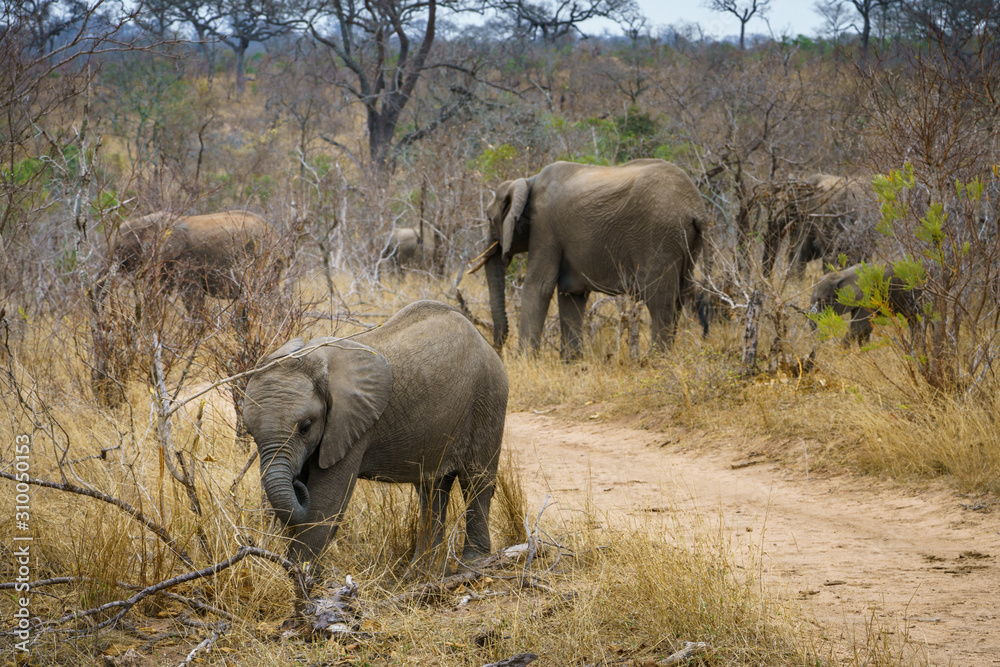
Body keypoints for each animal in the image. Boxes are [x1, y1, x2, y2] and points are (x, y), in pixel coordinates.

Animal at [243, 300, 508, 572]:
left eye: (305, 427)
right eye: (251, 433)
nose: (297, 484)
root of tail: (485, 342)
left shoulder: (350, 427)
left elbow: (326, 501)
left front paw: (299, 576)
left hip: (488, 397)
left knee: (476, 480)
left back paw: (472, 564)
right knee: (431, 487)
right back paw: (420, 573)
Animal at [474, 158, 704, 360]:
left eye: (489, 219)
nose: (497, 347)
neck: (527, 181)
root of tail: (695, 209)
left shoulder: (545, 227)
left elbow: (538, 286)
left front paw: (525, 361)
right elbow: (571, 294)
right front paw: (572, 363)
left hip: (661, 237)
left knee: (660, 303)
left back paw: (656, 361)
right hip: (685, 244)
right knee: (680, 298)